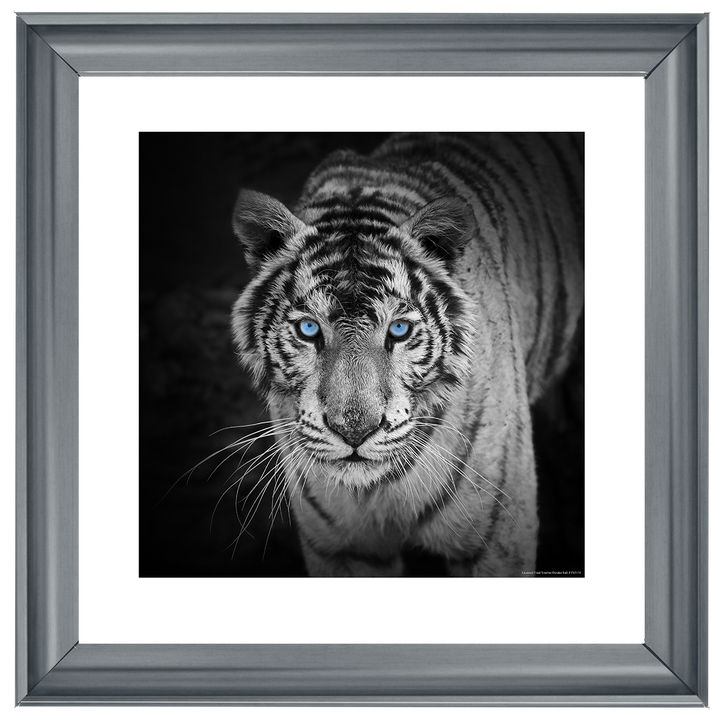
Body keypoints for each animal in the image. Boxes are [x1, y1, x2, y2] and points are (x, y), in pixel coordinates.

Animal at [229, 132, 584, 577]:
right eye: (309, 329)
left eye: (398, 330)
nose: (354, 432)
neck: (376, 490)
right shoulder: (342, 548)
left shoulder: (495, 539)